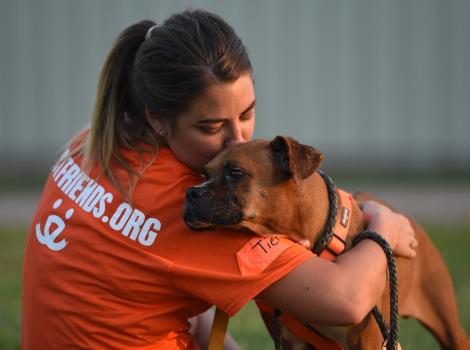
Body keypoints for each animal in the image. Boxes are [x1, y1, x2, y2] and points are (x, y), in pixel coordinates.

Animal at [184, 136, 470, 350]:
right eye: (204, 173)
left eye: (236, 173)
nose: (191, 193)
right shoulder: (292, 344)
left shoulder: (370, 342)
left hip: (448, 327)